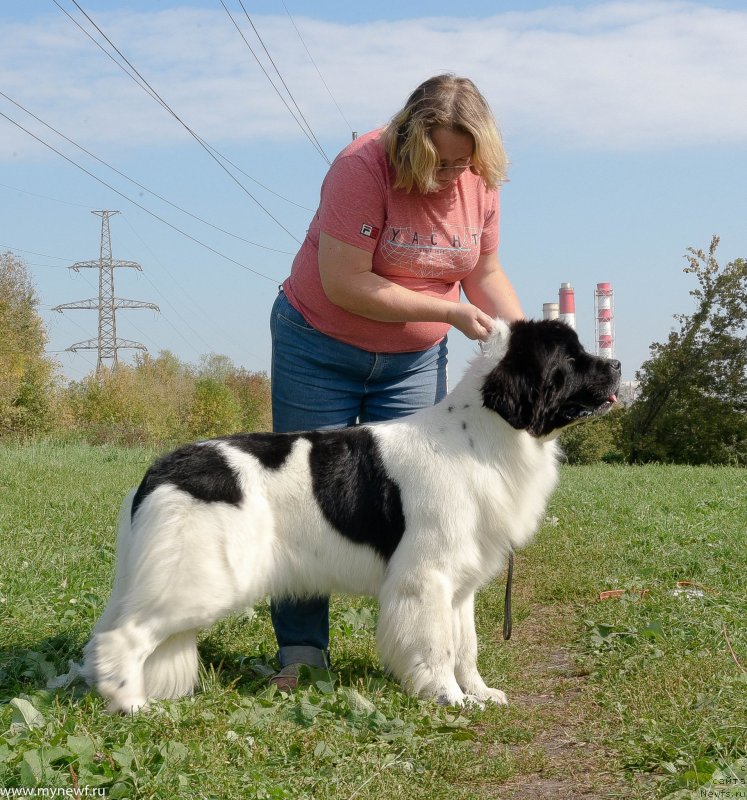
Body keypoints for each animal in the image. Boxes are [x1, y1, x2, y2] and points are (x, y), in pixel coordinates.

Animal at [74, 318, 620, 712]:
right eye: (571, 358)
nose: (615, 363)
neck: (482, 436)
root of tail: (158, 470)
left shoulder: (459, 585)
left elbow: (466, 646)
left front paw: (479, 693)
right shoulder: (426, 579)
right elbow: (439, 647)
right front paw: (449, 698)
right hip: (204, 577)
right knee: (120, 636)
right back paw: (132, 705)